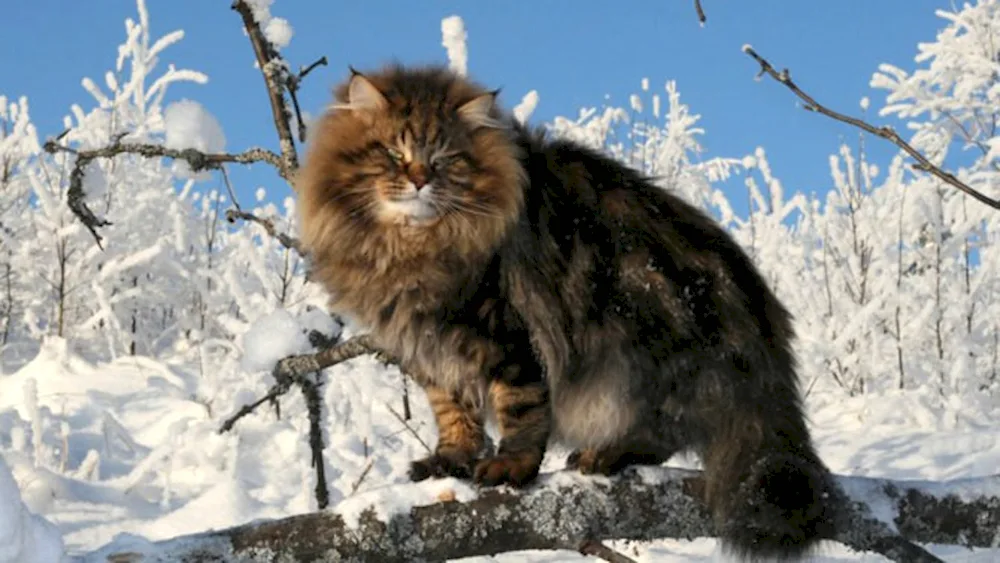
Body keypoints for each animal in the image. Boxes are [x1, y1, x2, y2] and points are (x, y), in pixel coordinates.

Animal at [294, 64, 844, 560]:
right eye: (394, 153)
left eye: (445, 158)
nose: (419, 181)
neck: (411, 249)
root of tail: (762, 331)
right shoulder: (434, 351)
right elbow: (454, 414)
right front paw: (450, 460)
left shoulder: (505, 335)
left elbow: (521, 410)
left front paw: (510, 467)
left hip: (643, 357)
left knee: (665, 431)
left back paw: (607, 453)